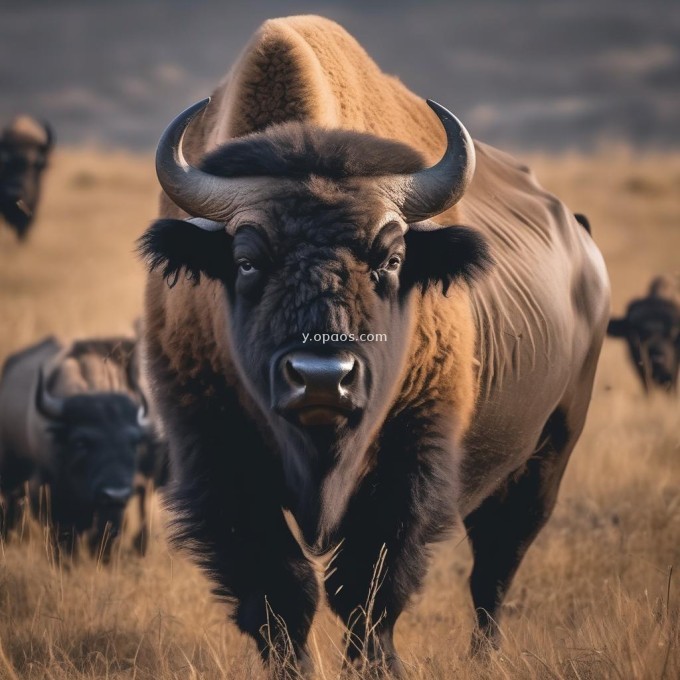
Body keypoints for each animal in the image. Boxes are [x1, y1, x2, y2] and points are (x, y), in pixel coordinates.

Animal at [139, 13, 612, 676]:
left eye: (391, 258)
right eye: (246, 260)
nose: (320, 377)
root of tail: (582, 242)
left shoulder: (408, 453)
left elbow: (368, 583)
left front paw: (380, 665)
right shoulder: (219, 454)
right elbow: (280, 587)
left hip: (551, 448)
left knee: (496, 562)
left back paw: (486, 653)